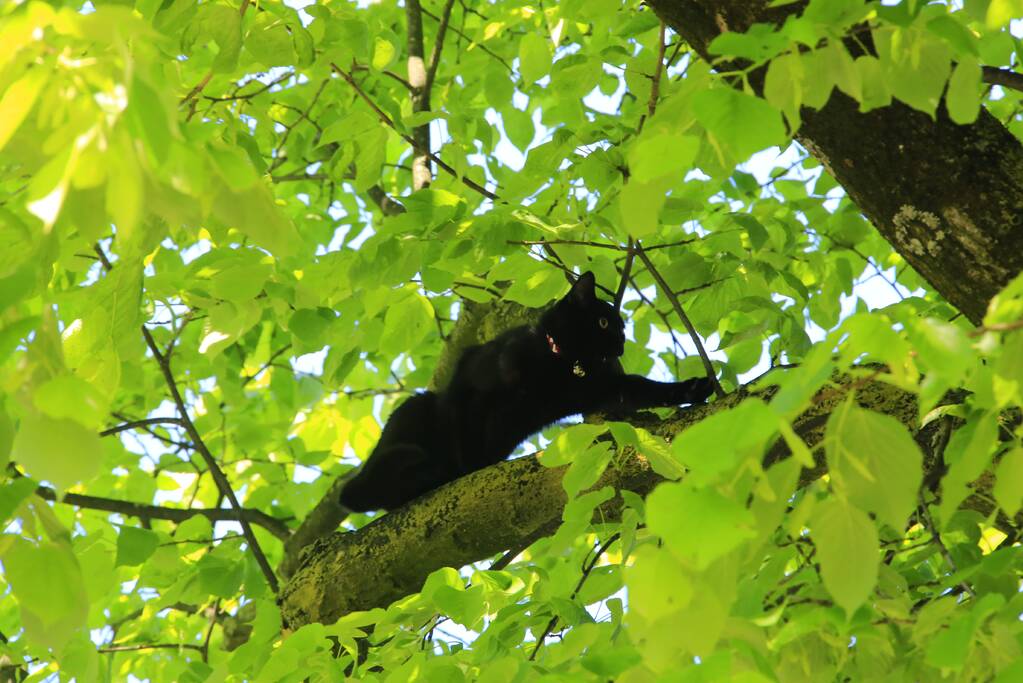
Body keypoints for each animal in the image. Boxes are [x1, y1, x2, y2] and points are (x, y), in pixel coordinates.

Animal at [339, 269, 716, 509]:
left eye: (623, 329)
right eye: (604, 322)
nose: (622, 345)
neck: (559, 364)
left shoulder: (605, 387)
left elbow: (645, 387)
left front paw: (692, 389)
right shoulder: (471, 385)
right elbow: (463, 434)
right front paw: (465, 470)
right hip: (415, 408)